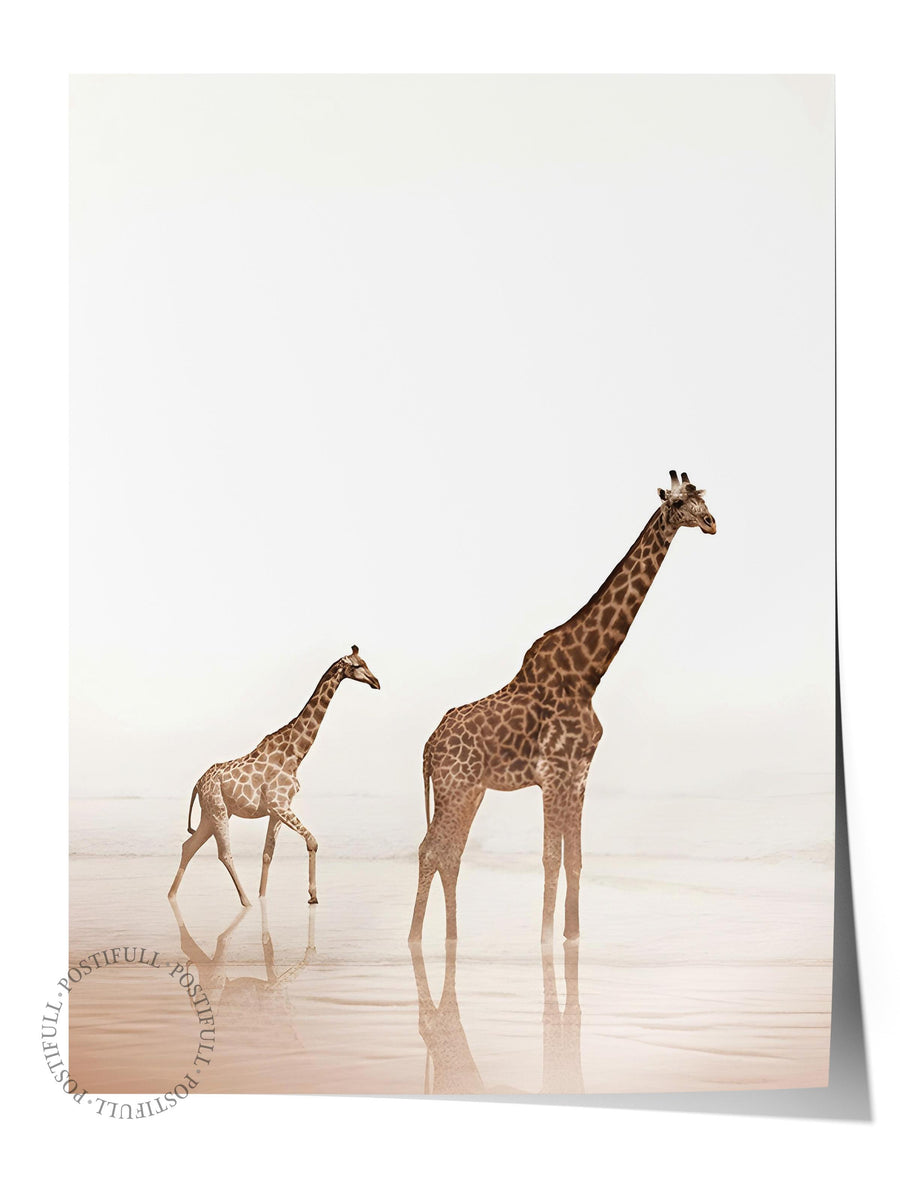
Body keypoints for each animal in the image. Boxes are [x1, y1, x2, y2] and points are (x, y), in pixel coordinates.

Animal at [168, 647, 380, 908]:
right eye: (358, 665)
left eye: (366, 662)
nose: (376, 682)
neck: (296, 753)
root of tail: (197, 784)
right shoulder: (280, 805)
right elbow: (312, 841)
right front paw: (312, 895)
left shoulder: (276, 812)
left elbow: (267, 854)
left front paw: (264, 896)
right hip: (218, 811)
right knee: (224, 853)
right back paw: (246, 901)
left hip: (211, 813)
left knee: (189, 846)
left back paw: (172, 895)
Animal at [409, 471, 716, 944]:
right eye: (679, 502)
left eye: (703, 497)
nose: (711, 522)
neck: (589, 673)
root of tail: (427, 746)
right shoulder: (553, 774)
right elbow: (551, 857)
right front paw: (545, 938)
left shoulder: (579, 775)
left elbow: (575, 858)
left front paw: (572, 934)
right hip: (454, 786)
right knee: (430, 850)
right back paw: (415, 939)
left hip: (471, 789)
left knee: (450, 852)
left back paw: (451, 938)